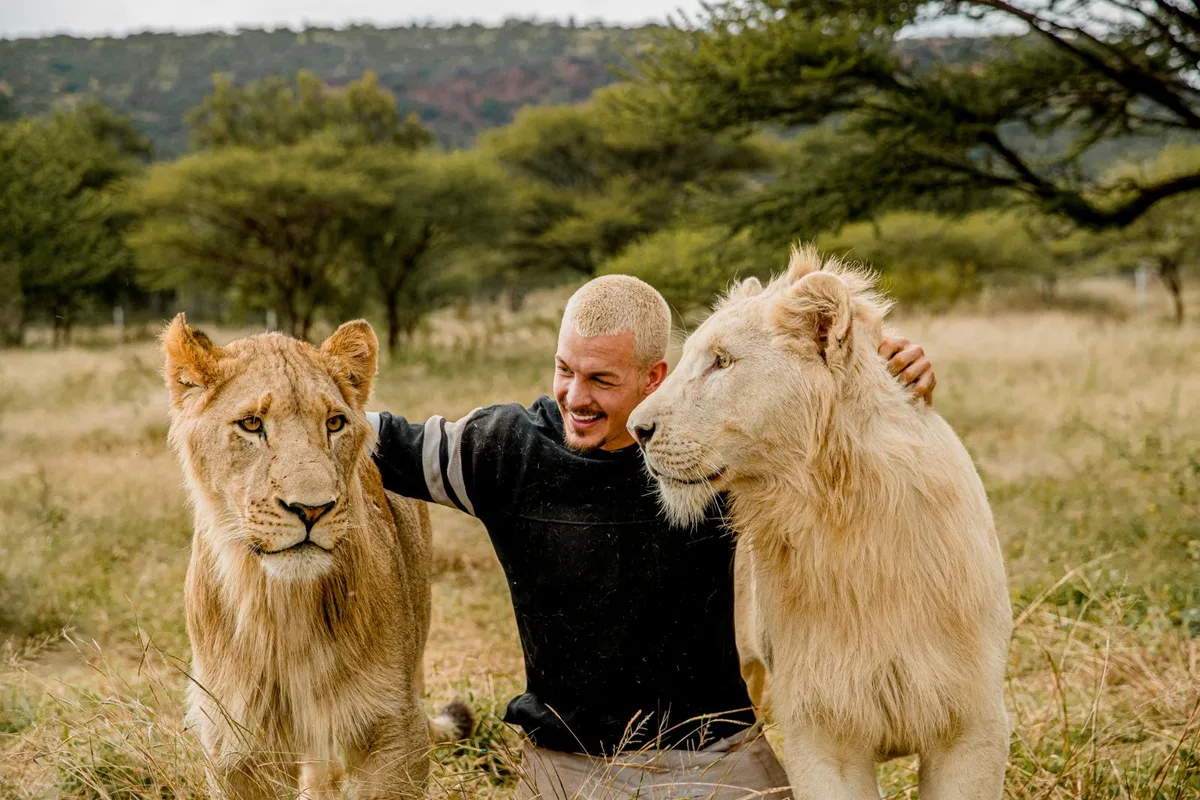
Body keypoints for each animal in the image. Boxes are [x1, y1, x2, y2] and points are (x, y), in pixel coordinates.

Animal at [161, 315, 472, 799]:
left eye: (335, 423)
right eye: (251, 424)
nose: (311, 509)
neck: (283, 611)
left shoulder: (397, 728)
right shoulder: (235, 741)